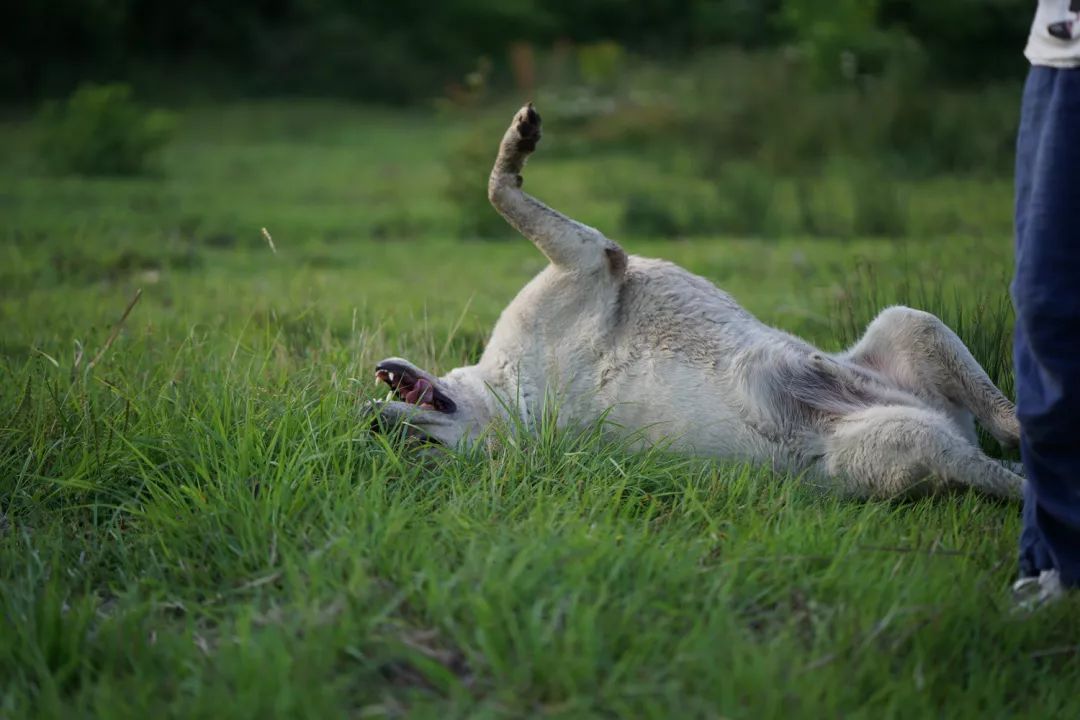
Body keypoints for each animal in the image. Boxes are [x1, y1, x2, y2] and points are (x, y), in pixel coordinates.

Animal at [371, 105, 1019, 500]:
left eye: (422, 445)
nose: (374, 426)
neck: (516, 398)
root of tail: (943, 423)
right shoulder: (591, 258)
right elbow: (499, 190)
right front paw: (517, 147)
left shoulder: (585, 261)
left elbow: (499, 192)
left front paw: (518, 140)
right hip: (906, 440)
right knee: (1003, 466)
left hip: (909, 324)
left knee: (999, 419)